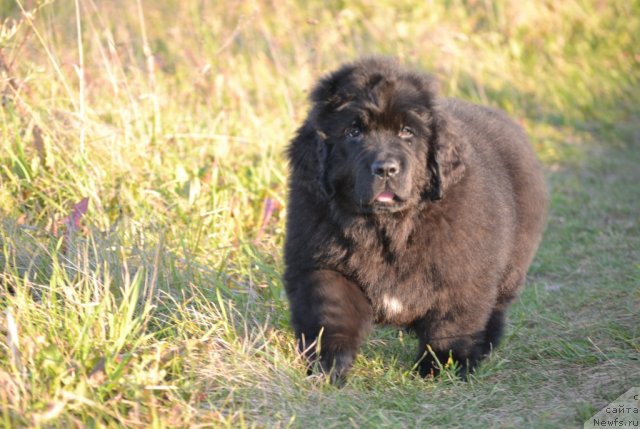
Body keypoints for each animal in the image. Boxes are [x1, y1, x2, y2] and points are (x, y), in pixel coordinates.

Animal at [282, 57, 548, 382]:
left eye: (407, 132)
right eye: (353, 132)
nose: (386, 169)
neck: (388, 230)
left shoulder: (462, 273)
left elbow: (451, 324)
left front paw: (441, 367)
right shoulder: (324, 263)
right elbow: (330, 312)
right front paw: (328, 365)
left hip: (512, 266)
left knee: (495, 309)